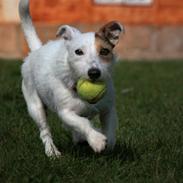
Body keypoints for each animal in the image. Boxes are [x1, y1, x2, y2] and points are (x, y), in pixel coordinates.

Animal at [18, 0, 124, 157]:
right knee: (45, 130)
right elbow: (82, 123)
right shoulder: (66, 112)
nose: (94, 73)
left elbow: (109, 131)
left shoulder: (108, 108)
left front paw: (106, 142)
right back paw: (52, 150)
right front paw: (97, 140)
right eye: (78, 52)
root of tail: (36, 50)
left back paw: (79, 139)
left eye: (104, 51)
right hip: (35, 106)